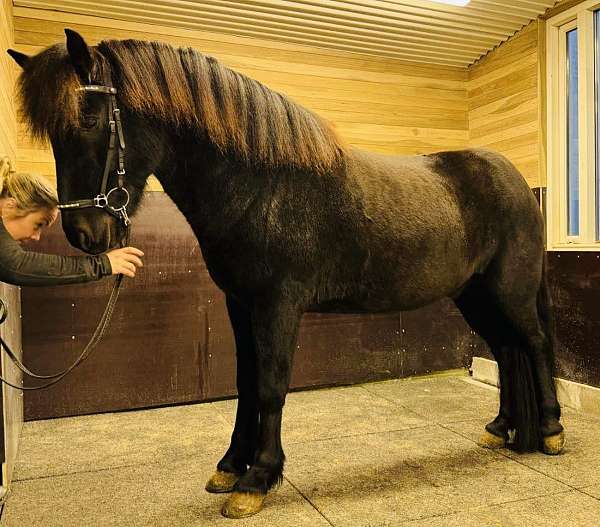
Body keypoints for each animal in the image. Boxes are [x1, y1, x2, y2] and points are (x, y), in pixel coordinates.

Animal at [8, 32, 564, 520]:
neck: (260, 185)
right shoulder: (240, 304)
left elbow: (272, 385)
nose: (84, 233)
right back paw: (502, 427)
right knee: (506, 350)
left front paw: (258, 480)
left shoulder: (278, 305)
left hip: (509, 292)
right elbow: (246, 382)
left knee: (533, 344)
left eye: (89, 117)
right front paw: (231, 467)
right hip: (475, 296)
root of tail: (518, 181)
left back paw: (552, 430)